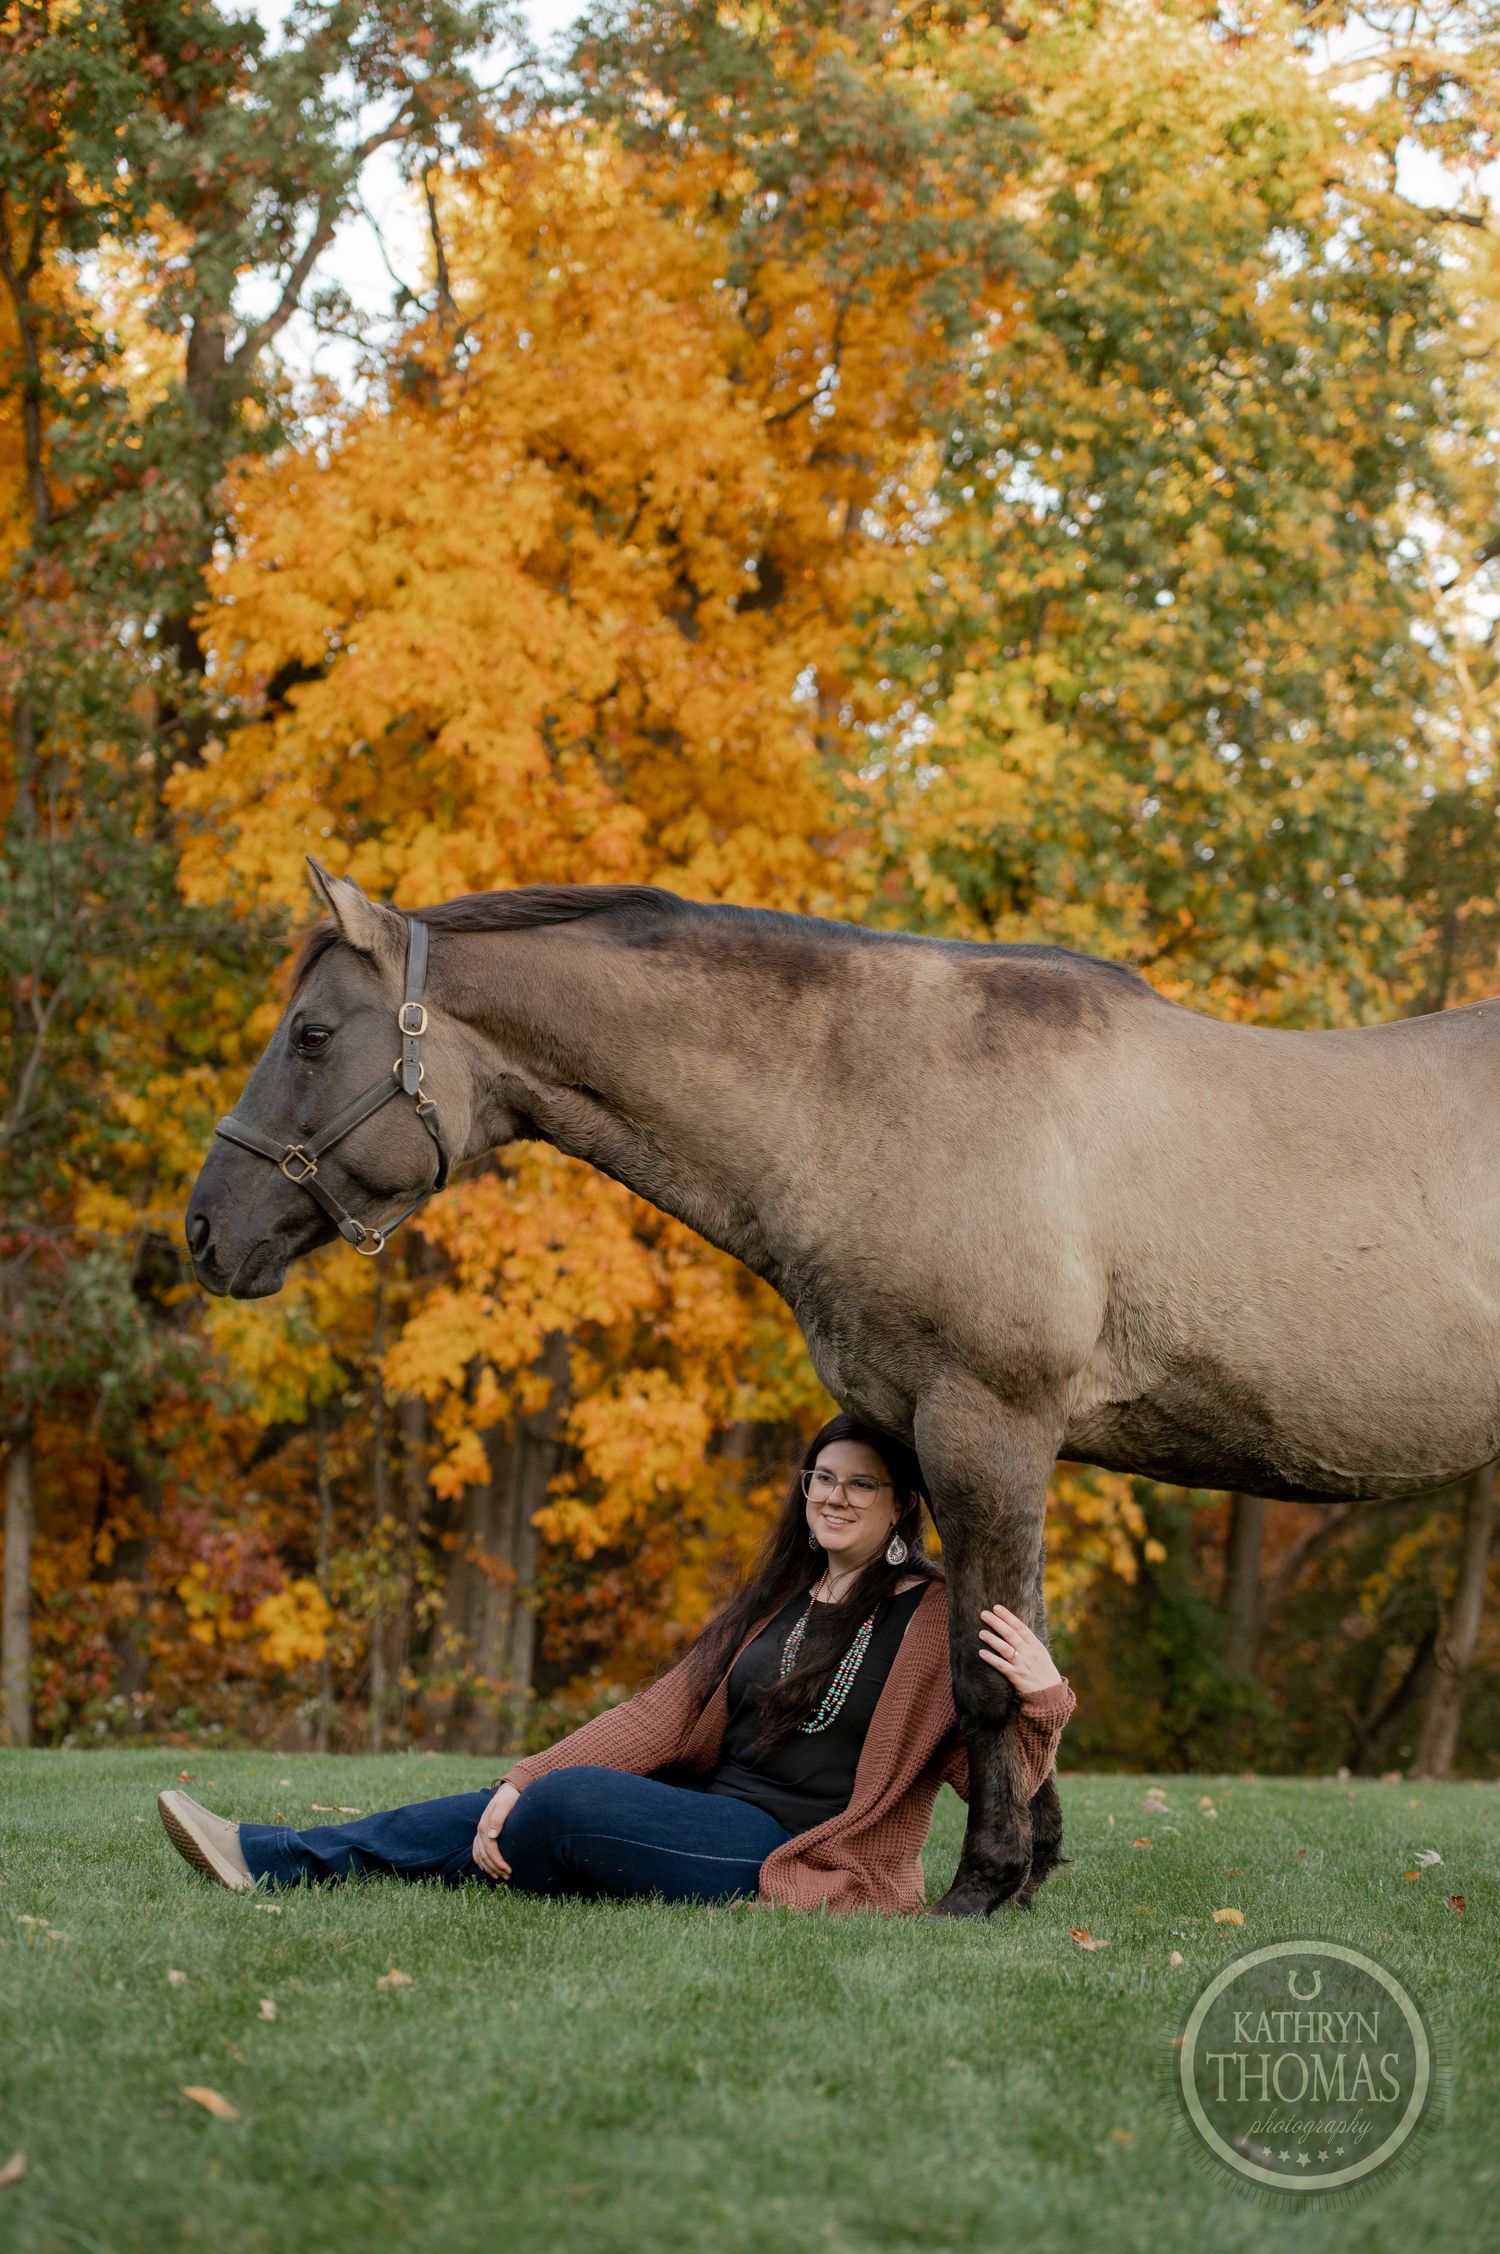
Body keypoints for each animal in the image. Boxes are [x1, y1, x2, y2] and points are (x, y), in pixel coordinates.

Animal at [185, 862, 1500, 1916]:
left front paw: (981, 1883)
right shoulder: (960, 1438)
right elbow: (1020, 1646)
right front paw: (1032, 1868)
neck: (878, 1097)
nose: (204, 1232)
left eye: (312, 1034)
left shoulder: (986, 1428)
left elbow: (987, 1674)